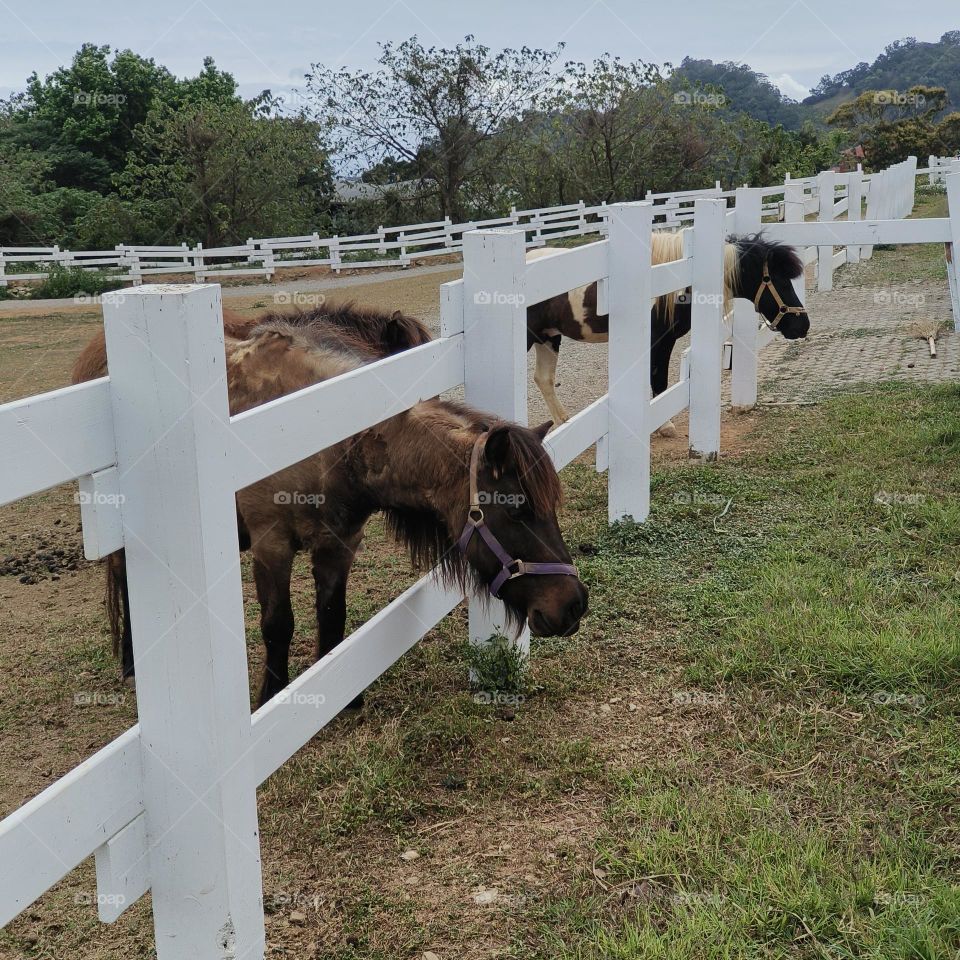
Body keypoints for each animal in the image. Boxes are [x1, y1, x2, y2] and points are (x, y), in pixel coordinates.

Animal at [73, 303, 588, 708]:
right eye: (516, 510)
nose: (574, 604)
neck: (320, 432)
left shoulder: (340, 543)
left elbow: (331, 614)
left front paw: (343, 692)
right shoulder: (272, 545)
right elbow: (278, 625)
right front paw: (272, 697)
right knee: (124, 582)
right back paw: (131, 662)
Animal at [525, 231, 811, 433]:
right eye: (781, 281)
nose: (802, 326)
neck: (675, 285)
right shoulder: (657, 340)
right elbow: (658, 379)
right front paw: (664, 425)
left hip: (548, 338)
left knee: (544, 379)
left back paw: (563, 423)